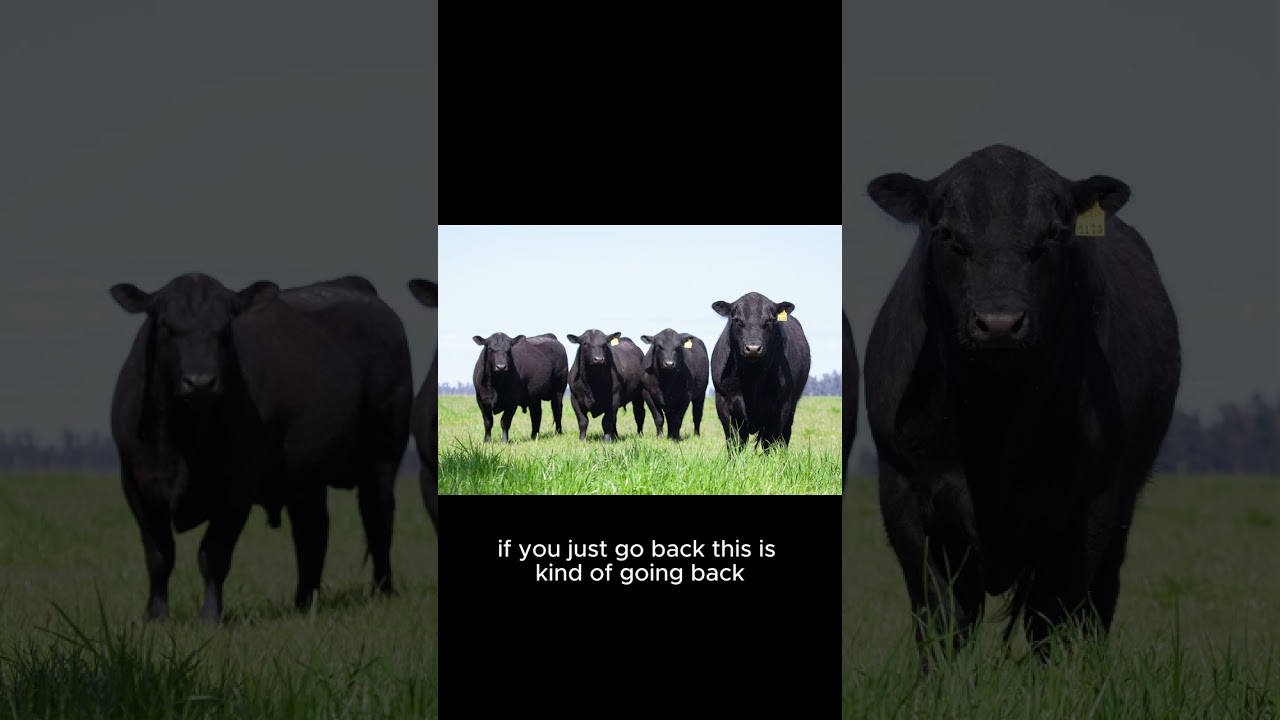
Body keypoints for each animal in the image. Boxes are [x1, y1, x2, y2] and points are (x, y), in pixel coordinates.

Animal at [109, 273, 413, 623]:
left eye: (225, 328)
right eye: (166, 325)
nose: (200, 382)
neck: (185, 437)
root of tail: (356, 287)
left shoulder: (237, 487)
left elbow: (213, 554)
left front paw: (210, 617)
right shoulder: (136, 484)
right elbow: (159, 555)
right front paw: (156, 616)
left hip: (383, 455)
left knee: (378, 518)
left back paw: (382, 591)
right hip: (305, 476)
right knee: (313, 531)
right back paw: (304, 600)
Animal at [709, 292, 810, 453]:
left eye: (770, 320)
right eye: (736, 319)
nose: (753, 348)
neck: (752, 376)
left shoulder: (781, 405)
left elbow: (770, 441)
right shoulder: (723, 401)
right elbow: (735, 441)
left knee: (785, 436)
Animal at [864, 144, 1181, 670]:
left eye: (1055, 233)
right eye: (946, 233)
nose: (999, 323)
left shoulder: (1089, 502)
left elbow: (1051, 619)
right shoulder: (904, 491)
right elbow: (940, 617)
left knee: (1097, 604)